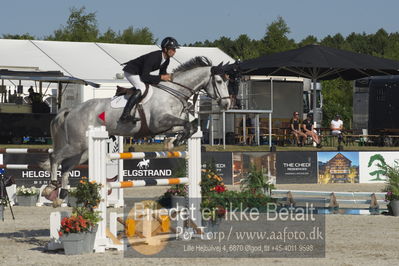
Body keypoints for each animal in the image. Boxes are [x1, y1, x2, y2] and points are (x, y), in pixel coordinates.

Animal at [41, 56, 231, 206]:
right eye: (219, 81)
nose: (227, 104)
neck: (173, 92)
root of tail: (71, 111)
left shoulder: (166, 125)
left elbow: (189, 126)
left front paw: (174, 141)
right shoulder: (159, 122)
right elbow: (187, 124)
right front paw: (176, 141)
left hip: (84, 150)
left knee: (66, 166)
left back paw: (61, 195)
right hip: (77, 144)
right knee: (55, 156)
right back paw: (50, 187)